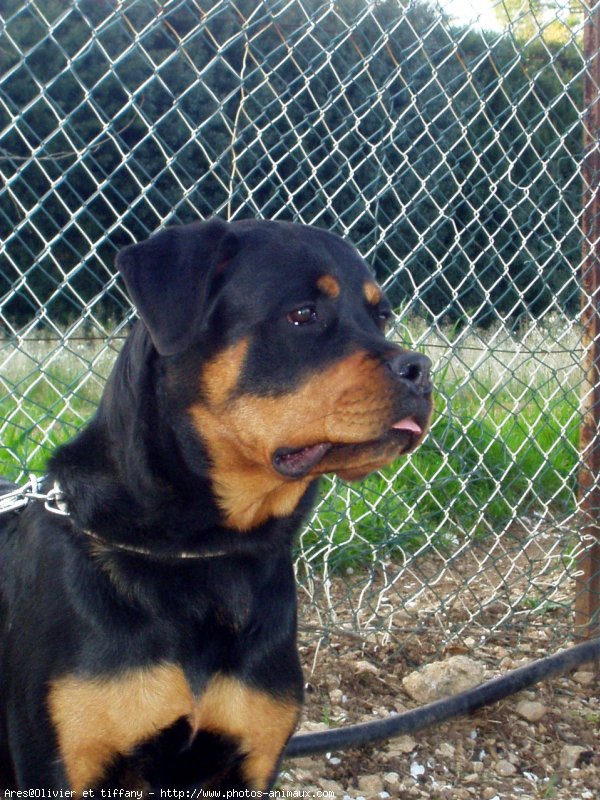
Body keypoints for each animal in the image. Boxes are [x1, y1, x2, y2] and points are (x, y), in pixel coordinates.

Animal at [0, 220, 432, 792]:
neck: (202, 553)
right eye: (303, 314)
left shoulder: (253, 760)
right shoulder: (60, 764)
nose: (421, 369)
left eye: (381, 317)